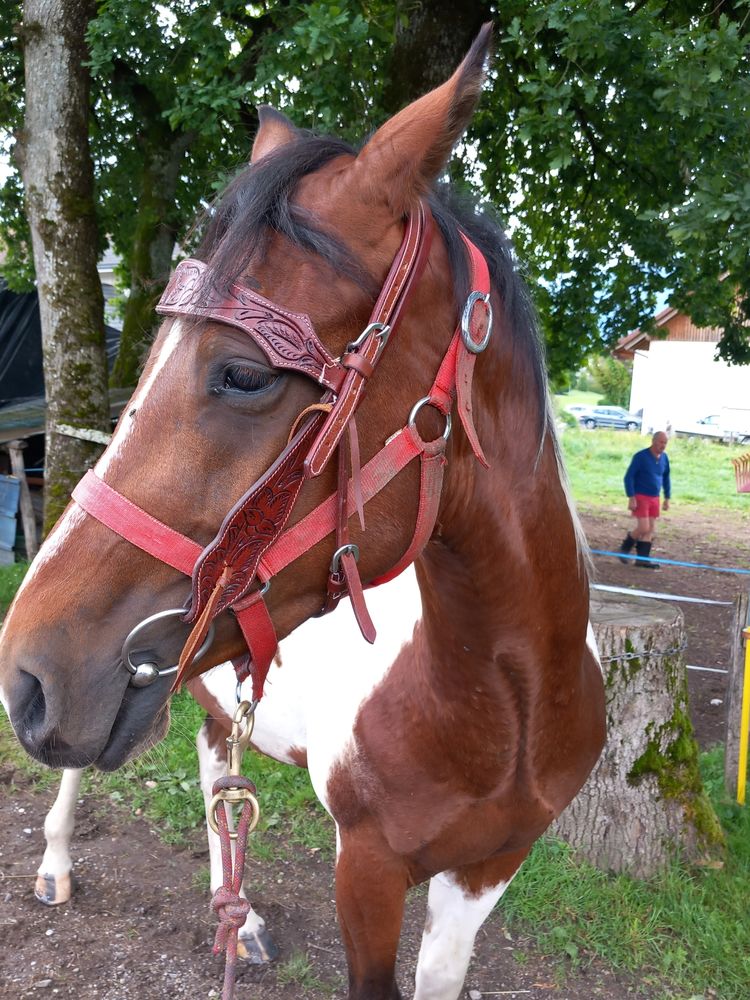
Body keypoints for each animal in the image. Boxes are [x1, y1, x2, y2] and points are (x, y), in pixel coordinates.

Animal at [0, 26, 605, 1000]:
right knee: (87, 782)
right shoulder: (367, 869)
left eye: (243, 374)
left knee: (216, 776)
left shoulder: (488, 870)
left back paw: (237, 923)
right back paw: (57, 863)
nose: (26, 674)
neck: (501, 701)